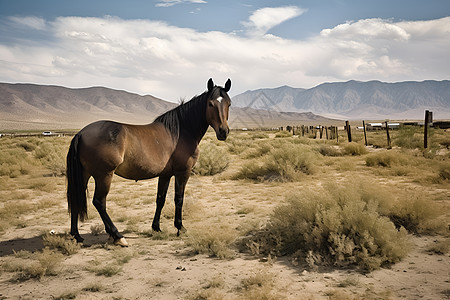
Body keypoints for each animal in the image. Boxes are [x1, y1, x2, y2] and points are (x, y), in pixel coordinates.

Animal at [66, 78, 232, 246]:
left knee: (76, 198)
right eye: (210, 104)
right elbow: (179, 198)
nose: (223, 132)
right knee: (99, 202)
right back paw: (117, 236)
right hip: (104, 175)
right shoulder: (182, 172)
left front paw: (156, 227)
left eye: (229, 104)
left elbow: (160, 199)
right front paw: (180, 227)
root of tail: (81, 134)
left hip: (84, 174)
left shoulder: (165, 175)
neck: (179, 132)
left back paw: (76, 236)